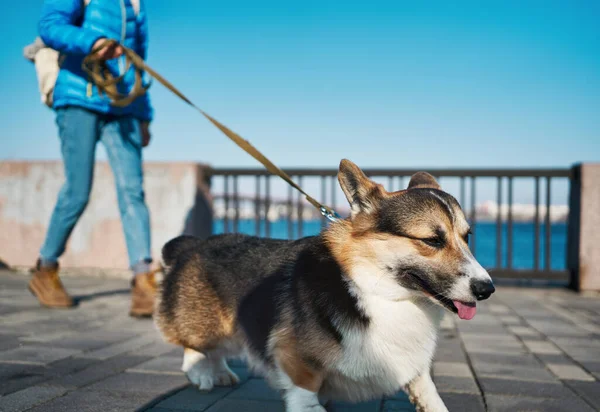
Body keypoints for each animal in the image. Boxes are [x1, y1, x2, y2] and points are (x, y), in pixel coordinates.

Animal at [156, 160, 496, 412]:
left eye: (467, 236)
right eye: (432, 240)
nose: (487, 290)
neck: (379, 291)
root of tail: (193, 244)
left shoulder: (413, 365)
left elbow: (428, 392)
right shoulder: (295, 359)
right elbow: (305, 394)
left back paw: (223, 374)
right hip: (209, 325)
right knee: (195, 347)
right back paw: (202, 373)